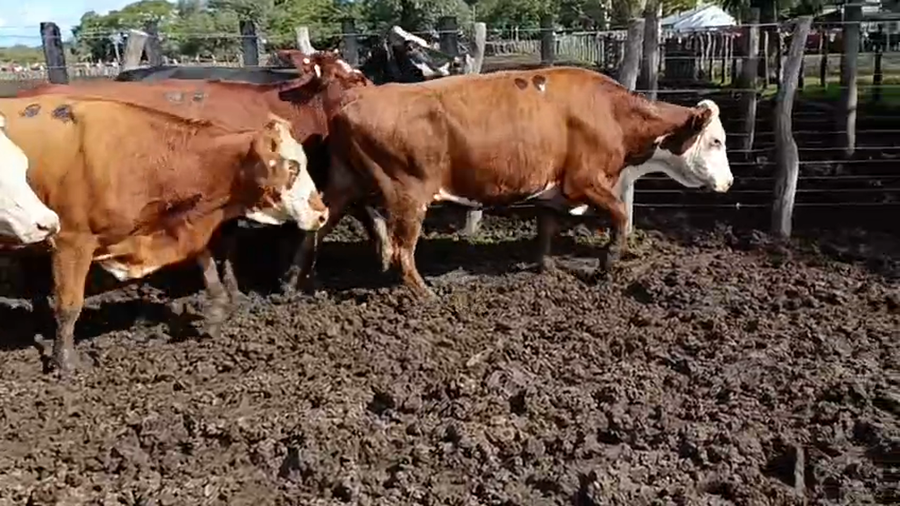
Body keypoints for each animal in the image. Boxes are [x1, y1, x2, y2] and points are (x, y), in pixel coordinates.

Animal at [289, 64, 734, 298]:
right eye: (716, 140)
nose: (729, 182)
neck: (611, 112)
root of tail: (352, 103)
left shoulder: (552, 190)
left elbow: (547, 230)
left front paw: (547, 268)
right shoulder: (585, 182)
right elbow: (621, 217)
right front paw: (606, 265)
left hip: (345, 183)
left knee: (316, 228)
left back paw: (296, 281)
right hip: (407, 194)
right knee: (401, 249)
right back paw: (425, 293)